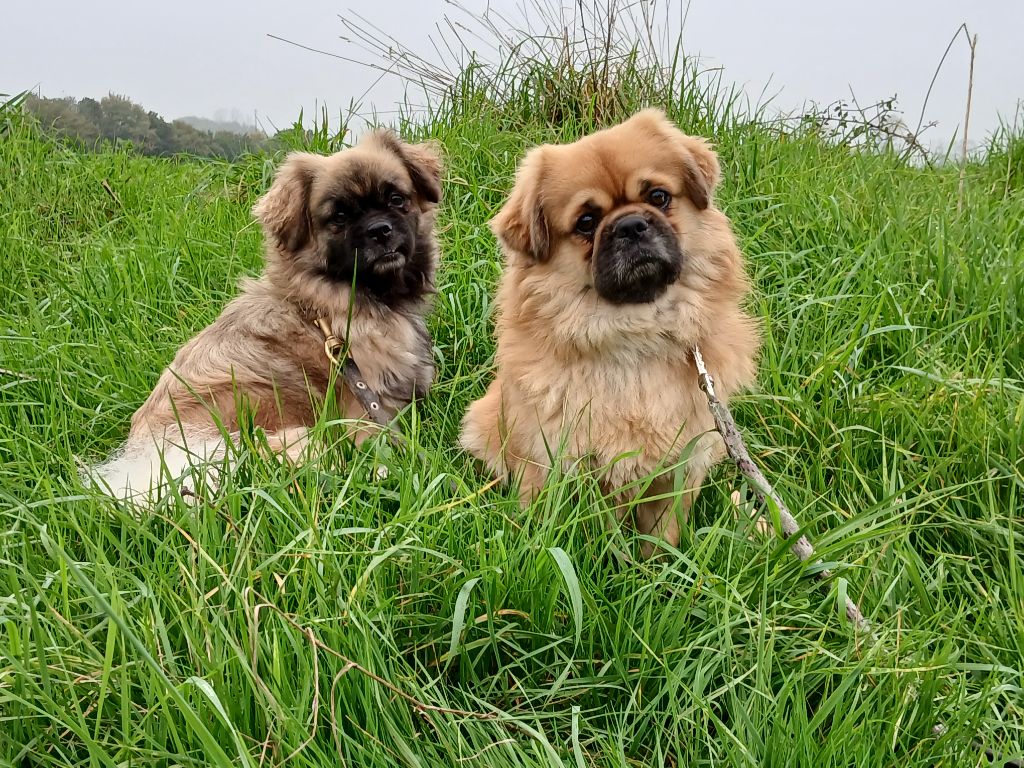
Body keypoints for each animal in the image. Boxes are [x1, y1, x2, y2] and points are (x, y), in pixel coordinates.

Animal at [87, 128, 440, 499]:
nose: (379, 229)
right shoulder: (364, 409)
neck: (322, 305)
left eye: (396, 199)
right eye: (340, 217)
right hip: (297, 441)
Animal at [460, 108, 757, 552]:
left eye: (658, 197)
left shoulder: (681, 468)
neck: (634, 336)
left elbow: (662, 537)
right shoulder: (549, 463)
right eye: (587, 222)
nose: (631, 225)